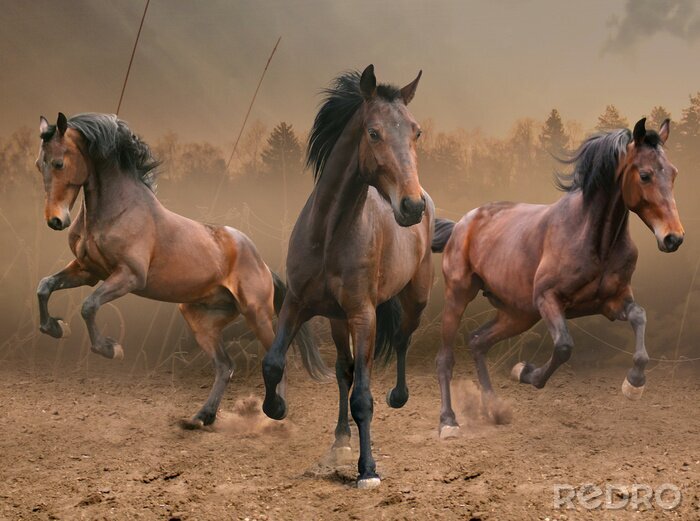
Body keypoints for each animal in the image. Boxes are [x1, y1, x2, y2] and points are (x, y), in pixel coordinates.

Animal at [34, 112, 327, 428]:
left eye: (59, 163)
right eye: (39, 164)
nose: (55, 220)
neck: (118, 210)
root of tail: (262, 264)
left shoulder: (129, 276)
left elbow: (89, 306)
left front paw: (110, 349)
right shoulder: (88, 272)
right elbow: (45, 286)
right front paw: (55, 328)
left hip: (256, 312)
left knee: (272, 357)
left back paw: (275, 410)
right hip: (200, 318)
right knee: (225, 366)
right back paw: (202, 417)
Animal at [259, 65, 432, 488]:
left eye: (416, 132)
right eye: (373, 132)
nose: (412, 206)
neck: (329, 235)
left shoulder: (363, 315)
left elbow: (363, 398)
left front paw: (367, 469)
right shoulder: (297, 304)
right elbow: (274, 362)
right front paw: (277, 407)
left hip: (415, 298)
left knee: (401, 338)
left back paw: (398, 397)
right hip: (337, 321)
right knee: (344, 370)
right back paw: (340, 439)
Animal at [431, 118, 684, 439]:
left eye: (673, 173)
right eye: (645, 175)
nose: (673, 238)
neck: (594, 240)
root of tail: (461, 225)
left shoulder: (612, 302)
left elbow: (640, 317)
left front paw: (633, 384)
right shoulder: (548, 299)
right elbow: (564, 346)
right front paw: (526, 372)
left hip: (518, 314)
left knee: (478, 342)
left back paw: (494, 409)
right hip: (459, 295)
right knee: (445, 358)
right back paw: (448, 422)